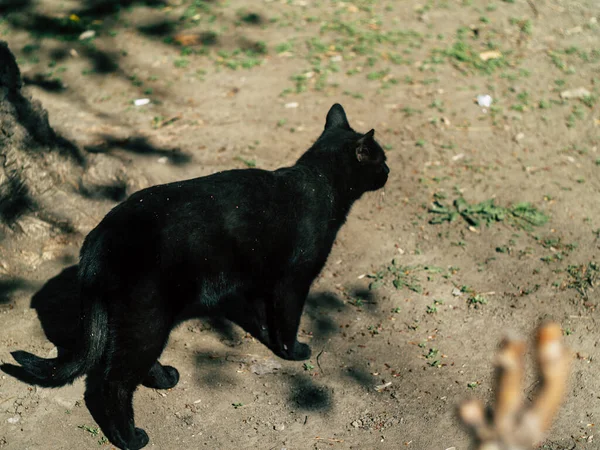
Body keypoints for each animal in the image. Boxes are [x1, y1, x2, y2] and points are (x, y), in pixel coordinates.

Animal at [0, 103, 390, 450]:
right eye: (381, 158)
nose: (388, 170)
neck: (319, 183)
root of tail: (99, 239)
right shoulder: (293, 281)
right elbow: (287, 320)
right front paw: (294, 352)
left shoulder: (257, 281)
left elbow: (264, 319)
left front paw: (271, 340)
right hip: (147, 317)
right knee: (113, 382)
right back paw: (131, 439)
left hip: (135, 320)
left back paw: (164, 379)